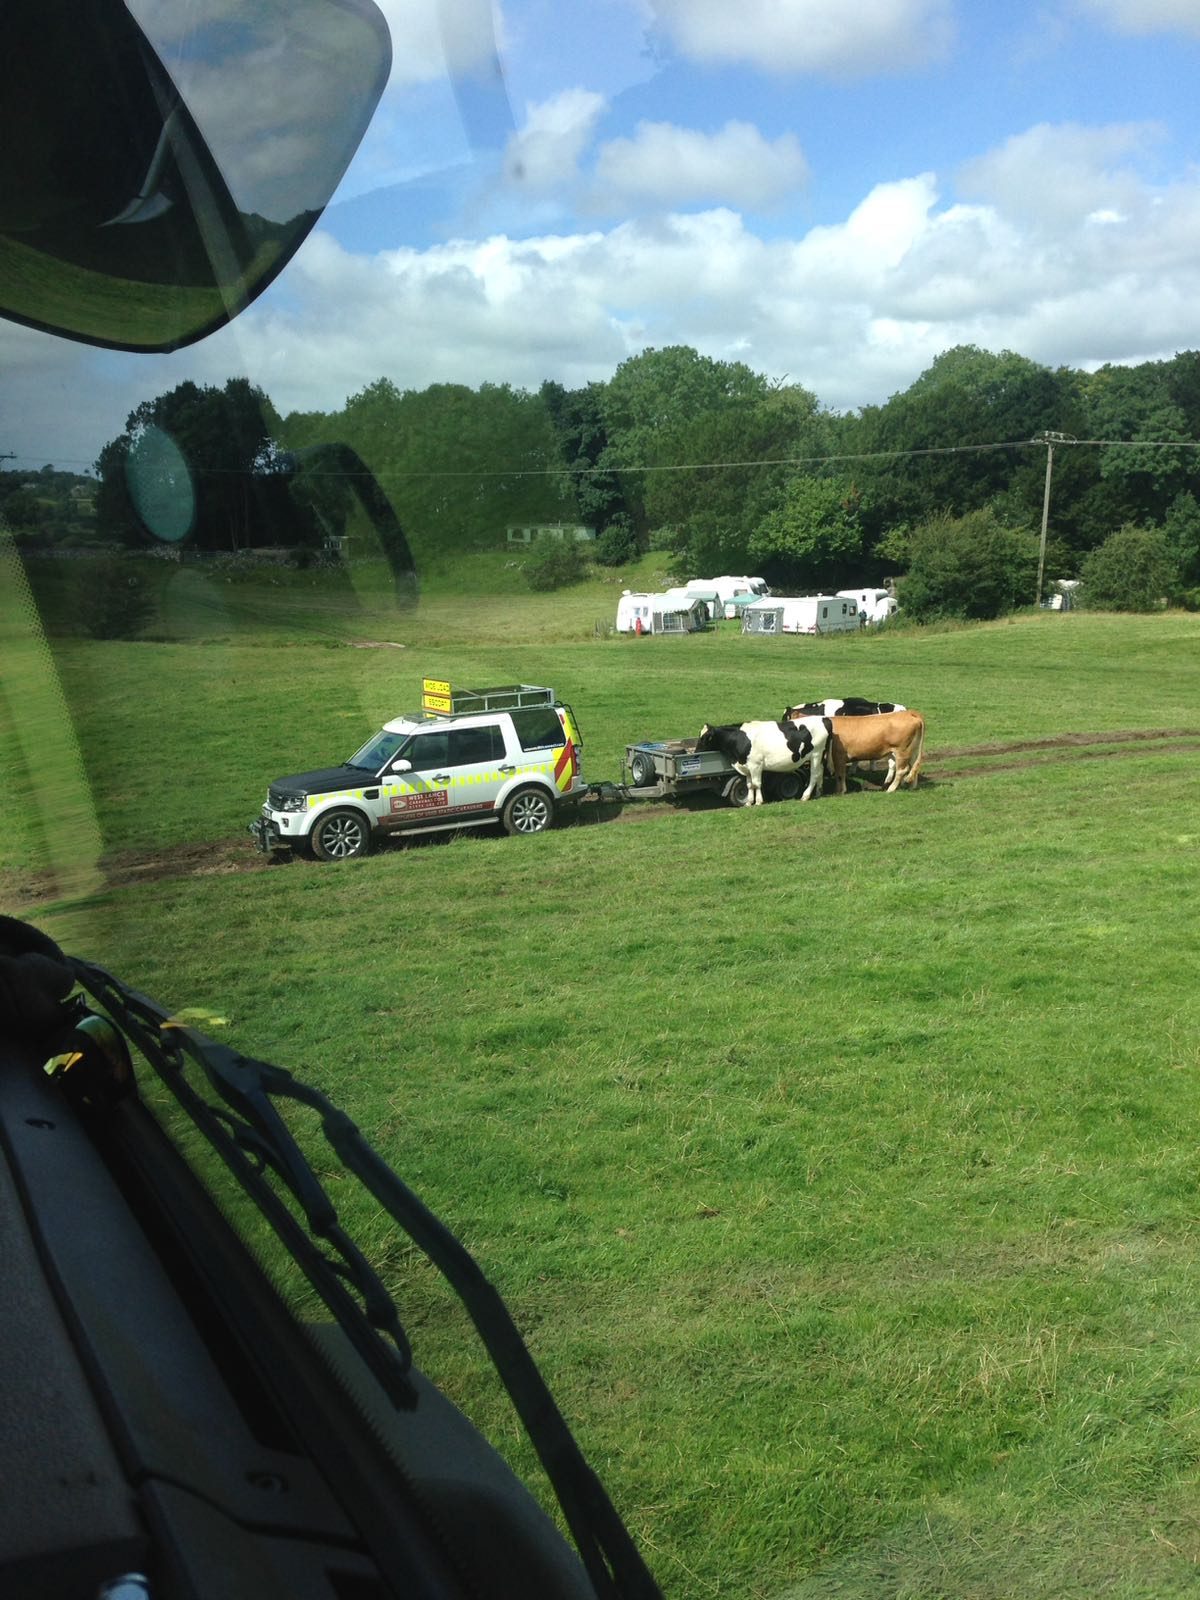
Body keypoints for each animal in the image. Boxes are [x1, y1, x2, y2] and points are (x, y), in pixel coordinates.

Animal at [700, 720, 832, 806]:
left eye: (705, 738)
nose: (696, 751)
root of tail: (824, 720)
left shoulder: (756, 765)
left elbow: (757, 784)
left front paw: (758, 801)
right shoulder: (746, 767)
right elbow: (749, 785)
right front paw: (749, 802)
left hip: (816, 754)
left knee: (814, 775)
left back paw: (805, 796)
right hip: (820, 756)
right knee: (820, 772)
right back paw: (818, 793)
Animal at [790, 707, 928, 793]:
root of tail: (909, 713)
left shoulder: (838, 755)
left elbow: (840, 774)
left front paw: (840, 791)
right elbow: (838, 774)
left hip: (902, 751)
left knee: (902, 770)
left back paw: (891, 789)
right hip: (912, 749)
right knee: (914, 766)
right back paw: (911, 787)